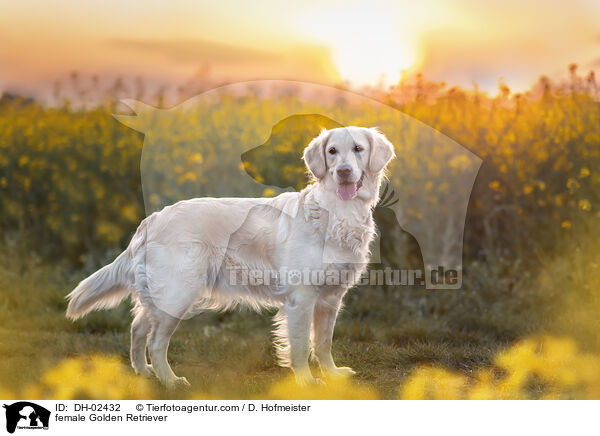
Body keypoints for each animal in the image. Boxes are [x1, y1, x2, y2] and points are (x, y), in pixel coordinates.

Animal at [67, 125, 394, 384]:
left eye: (358, 149)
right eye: (332, 151)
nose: (343, 172)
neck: (337, 213)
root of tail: (152, 219)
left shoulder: (330, 297)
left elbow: (324, 342)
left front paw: (333, 373)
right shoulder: (301, 298)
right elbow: (301, 346)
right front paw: (307, 381)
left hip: (160, 296)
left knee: (137, 329)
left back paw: (144, 372)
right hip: (178, 294)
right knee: (157, 342)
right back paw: (170, 381)